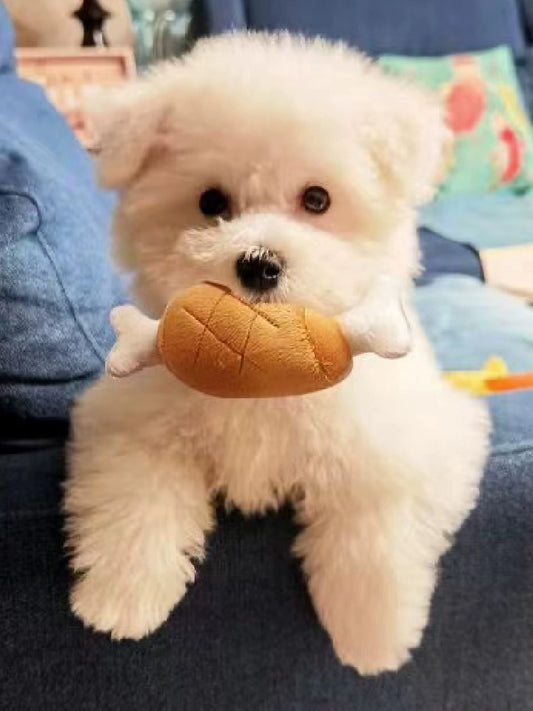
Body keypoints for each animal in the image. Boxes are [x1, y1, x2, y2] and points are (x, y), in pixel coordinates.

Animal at [64, 33, 488, 676]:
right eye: (212, 202)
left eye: (317, 199)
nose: (258, 264)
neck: (264, 368)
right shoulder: (130, 416)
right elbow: (136, 489)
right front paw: (121, 598)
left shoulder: (415, 433)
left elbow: (376, 517)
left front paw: (373, 635)